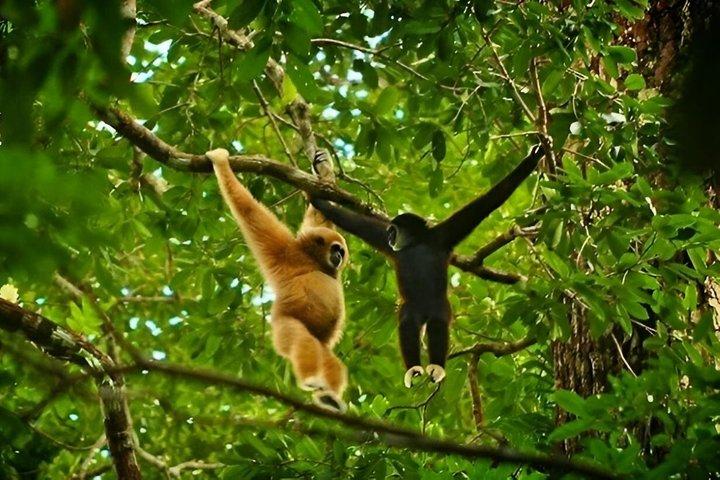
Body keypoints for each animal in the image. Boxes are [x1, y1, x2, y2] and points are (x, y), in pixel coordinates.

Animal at [207, 148, 350, 412]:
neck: (314, 262)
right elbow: (251, 212)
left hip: (319, 343)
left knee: (330, 362)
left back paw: (329, 396)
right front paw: (220, 162)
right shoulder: (287, 252)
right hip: (285, 326)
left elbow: (319, 215)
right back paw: (311, 380)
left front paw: (322, 165)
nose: (338, 256)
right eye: (335, 249)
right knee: (302, 342)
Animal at [311, 145, 544, 388]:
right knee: (407, 324)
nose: (390, 236)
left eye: (393, 230)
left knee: (438, 324)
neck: (417, 242)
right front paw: (320, 201)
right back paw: (414, 367)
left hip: (438, 305)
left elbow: (488, 201)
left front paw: (533, 159)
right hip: (412, 307)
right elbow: (355, 223)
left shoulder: (443, 235)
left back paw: (436, 366)